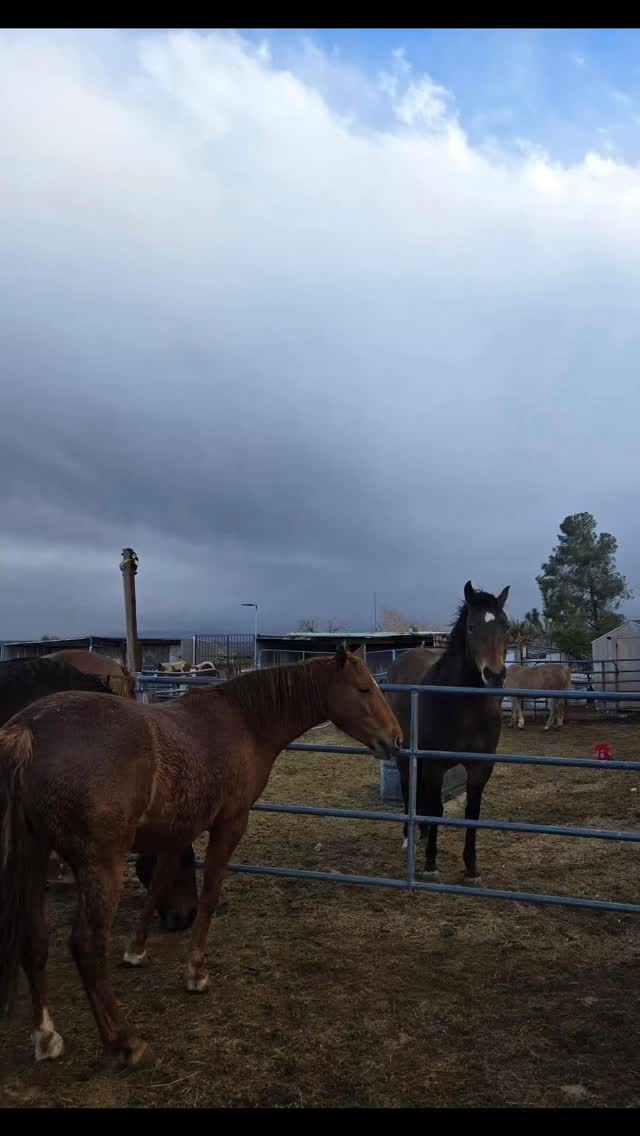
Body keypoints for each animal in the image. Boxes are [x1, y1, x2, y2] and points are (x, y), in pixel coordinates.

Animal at [386, 581, 509, 885]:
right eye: (472, 627)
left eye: (506, 626)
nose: (495, 675)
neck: (463, 707)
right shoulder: (435, 764)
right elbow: (437, 809)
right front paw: (430, 865)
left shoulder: (481, 767)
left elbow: (472, 812)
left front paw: (472, 868)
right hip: (405, 754)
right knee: (408, 787)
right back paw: (409, 837)